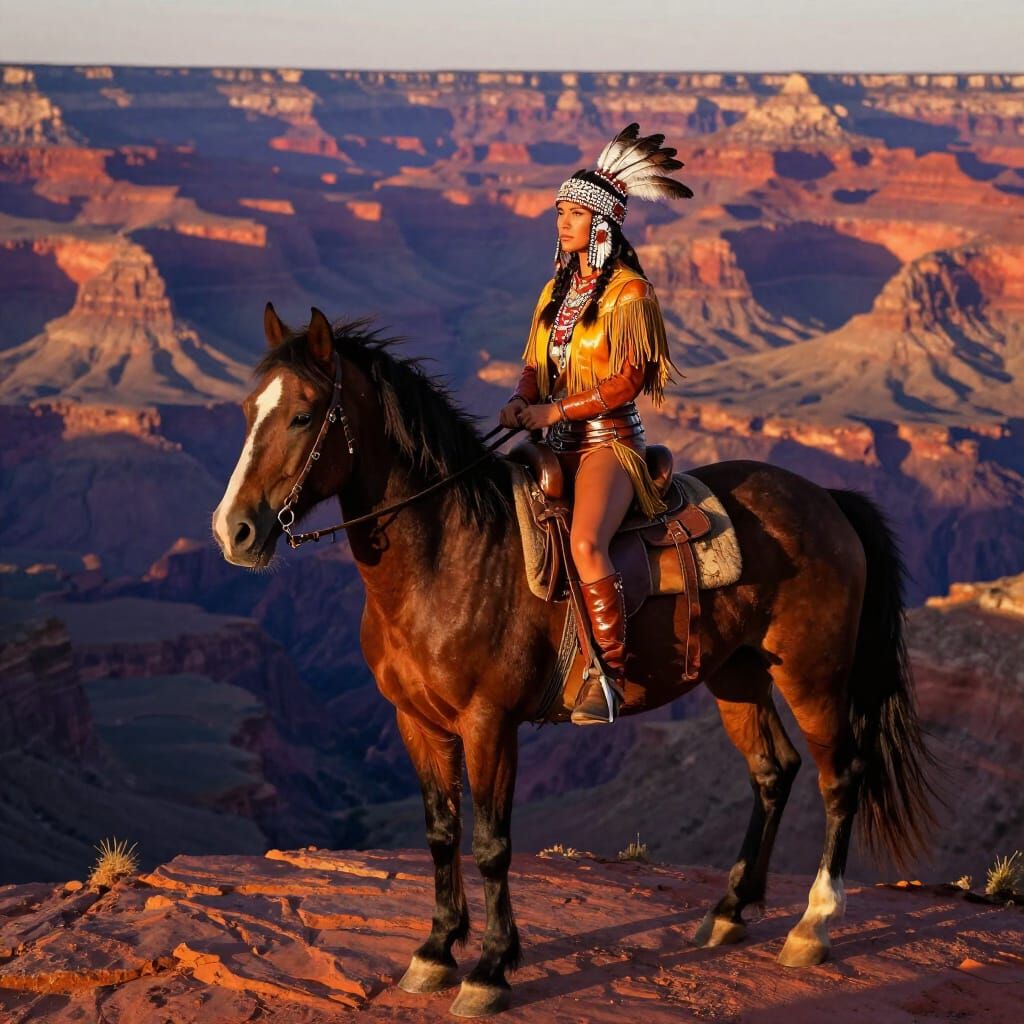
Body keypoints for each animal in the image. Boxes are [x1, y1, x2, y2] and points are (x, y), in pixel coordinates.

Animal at [211, 305, 937, 1018]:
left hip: (813, 675)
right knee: (773, 770)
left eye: (304, 414)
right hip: (737, 674)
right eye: (247, 410)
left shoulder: (488, 723)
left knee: (840, 777)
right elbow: (441, 832)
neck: (449, 554)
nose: (233, 531)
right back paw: (730, 911)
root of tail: (827, 499)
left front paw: (490, 970)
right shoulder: (416, 721)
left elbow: (492, 844)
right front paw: (435, 952)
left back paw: (812, 926)